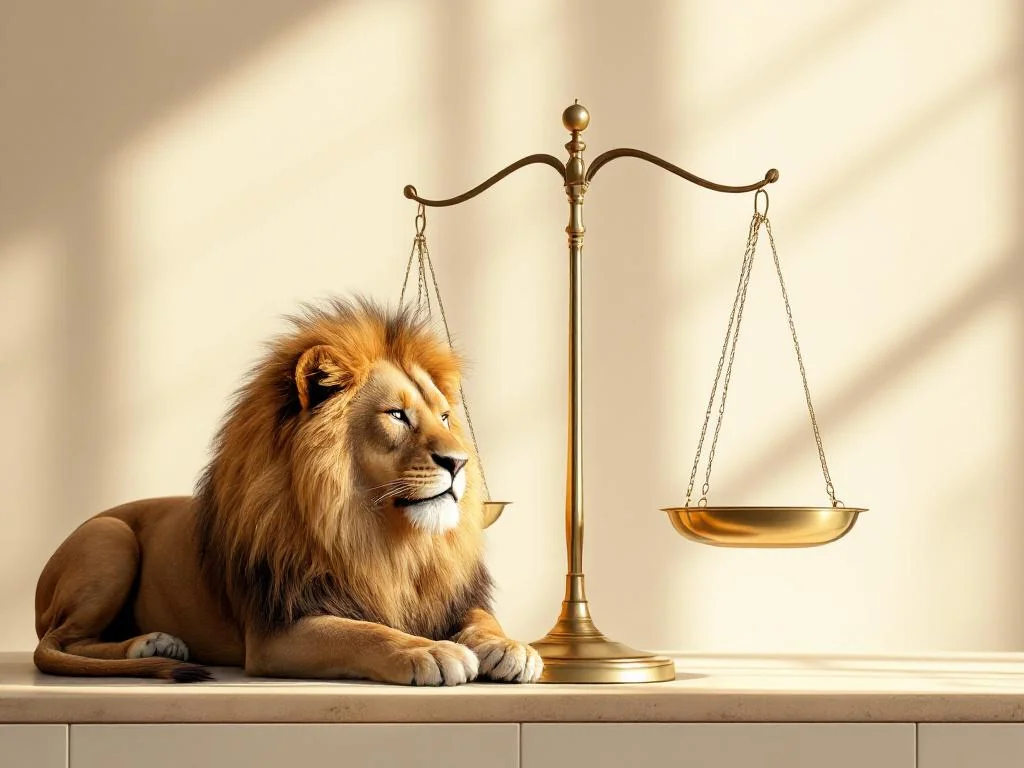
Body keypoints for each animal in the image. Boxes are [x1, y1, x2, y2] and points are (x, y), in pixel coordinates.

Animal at [32, 297, 542, 686]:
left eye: (445, 418)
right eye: (396, 415)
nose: (459, 463)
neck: (384, 538)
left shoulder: (448, 596)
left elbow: (481, 618)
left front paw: (510, 647)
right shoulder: (275, 632)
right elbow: (362, 632)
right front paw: (430, 651)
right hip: (110, 538)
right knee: (60, 640)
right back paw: (150, 644)